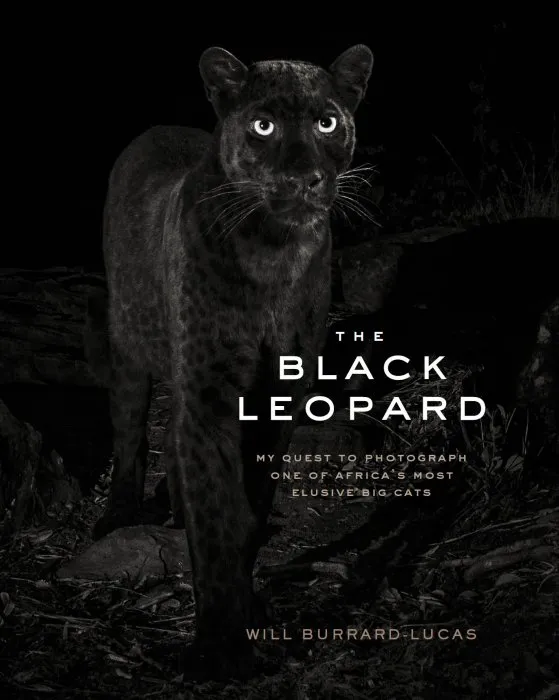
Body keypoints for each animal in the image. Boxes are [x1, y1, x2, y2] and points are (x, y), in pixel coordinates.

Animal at [94, 44, 374, 678]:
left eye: (327, 122)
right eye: (263, 126)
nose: (300, 178)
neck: (273, 250)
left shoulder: (277, 396)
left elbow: (251, 505)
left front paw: (250, 609)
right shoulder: (209, 390)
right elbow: (219, 510)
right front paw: (221, 649)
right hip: (128, 344)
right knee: (129, 429)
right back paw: (120, 513)